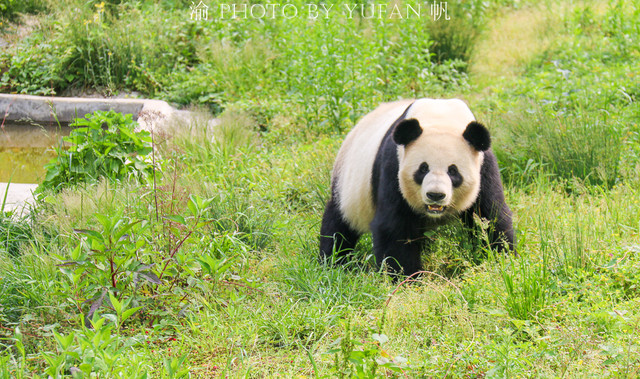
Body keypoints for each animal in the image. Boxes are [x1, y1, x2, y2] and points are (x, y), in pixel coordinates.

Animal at [320, 98, 516, 276]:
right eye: (423, 168)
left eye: (453, 171)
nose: (435, 195)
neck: (440, 116)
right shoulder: (394, 165)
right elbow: (394, 226)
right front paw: (407, 277)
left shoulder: (484, 166)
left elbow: (489, 216)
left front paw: (500, 258)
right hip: (348, 186)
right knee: (338, 225)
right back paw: (335, 261)